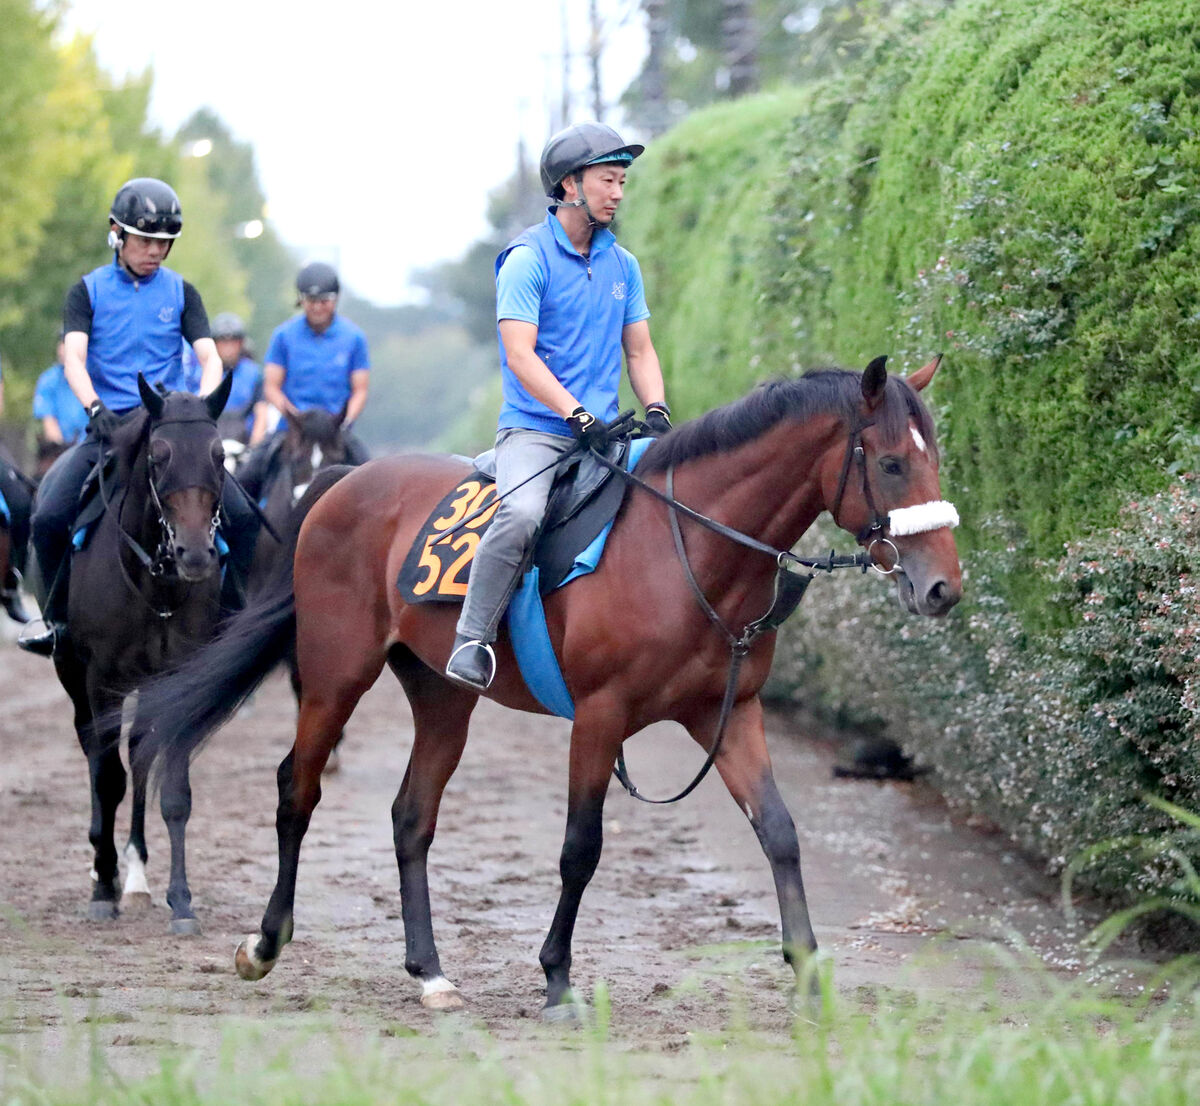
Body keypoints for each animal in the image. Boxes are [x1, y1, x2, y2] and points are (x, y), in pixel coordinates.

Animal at [54, 371, 231, 930]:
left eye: (220, 454)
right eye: (158, 455)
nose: (194, 555)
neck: (156, 585)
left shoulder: (180, 676)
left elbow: (172, 790)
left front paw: (181, 900)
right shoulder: (100, 682)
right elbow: (106, 778)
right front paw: (101, 890)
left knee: (139, 755)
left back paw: (135, 876)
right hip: (77, 679)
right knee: (97, 756)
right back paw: (106, 872)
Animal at [136, 357, 960, 1012]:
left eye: (936, 458)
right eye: (891, 463)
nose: (943, 588)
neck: (686, 546)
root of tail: (342, 482)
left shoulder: (726, 713)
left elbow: (780, 832)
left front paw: (810, 971)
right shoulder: (600, 716)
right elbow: (580, 847)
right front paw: (558, 977)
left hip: (443, 695)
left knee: (411, 815)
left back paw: (430, 973)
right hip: (337, 675)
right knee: (296, 789)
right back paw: (265, 945)